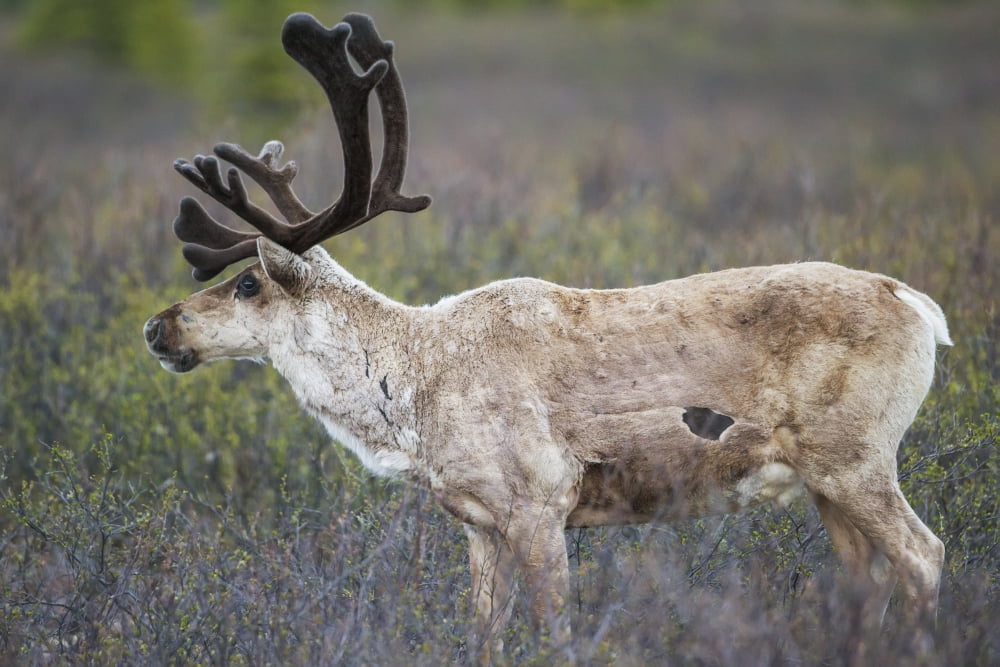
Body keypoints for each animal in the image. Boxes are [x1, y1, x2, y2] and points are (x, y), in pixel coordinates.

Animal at [143, 12, 952, 663]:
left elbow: (553, 632)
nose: (158, 325)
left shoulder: (541, 502)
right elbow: (482, 637)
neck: (414, 387)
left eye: (248, 284)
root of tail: (923, 308)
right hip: (823, 479)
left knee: (925, 554)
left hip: (856, 456)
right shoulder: (480, 525)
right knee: (865, 576)